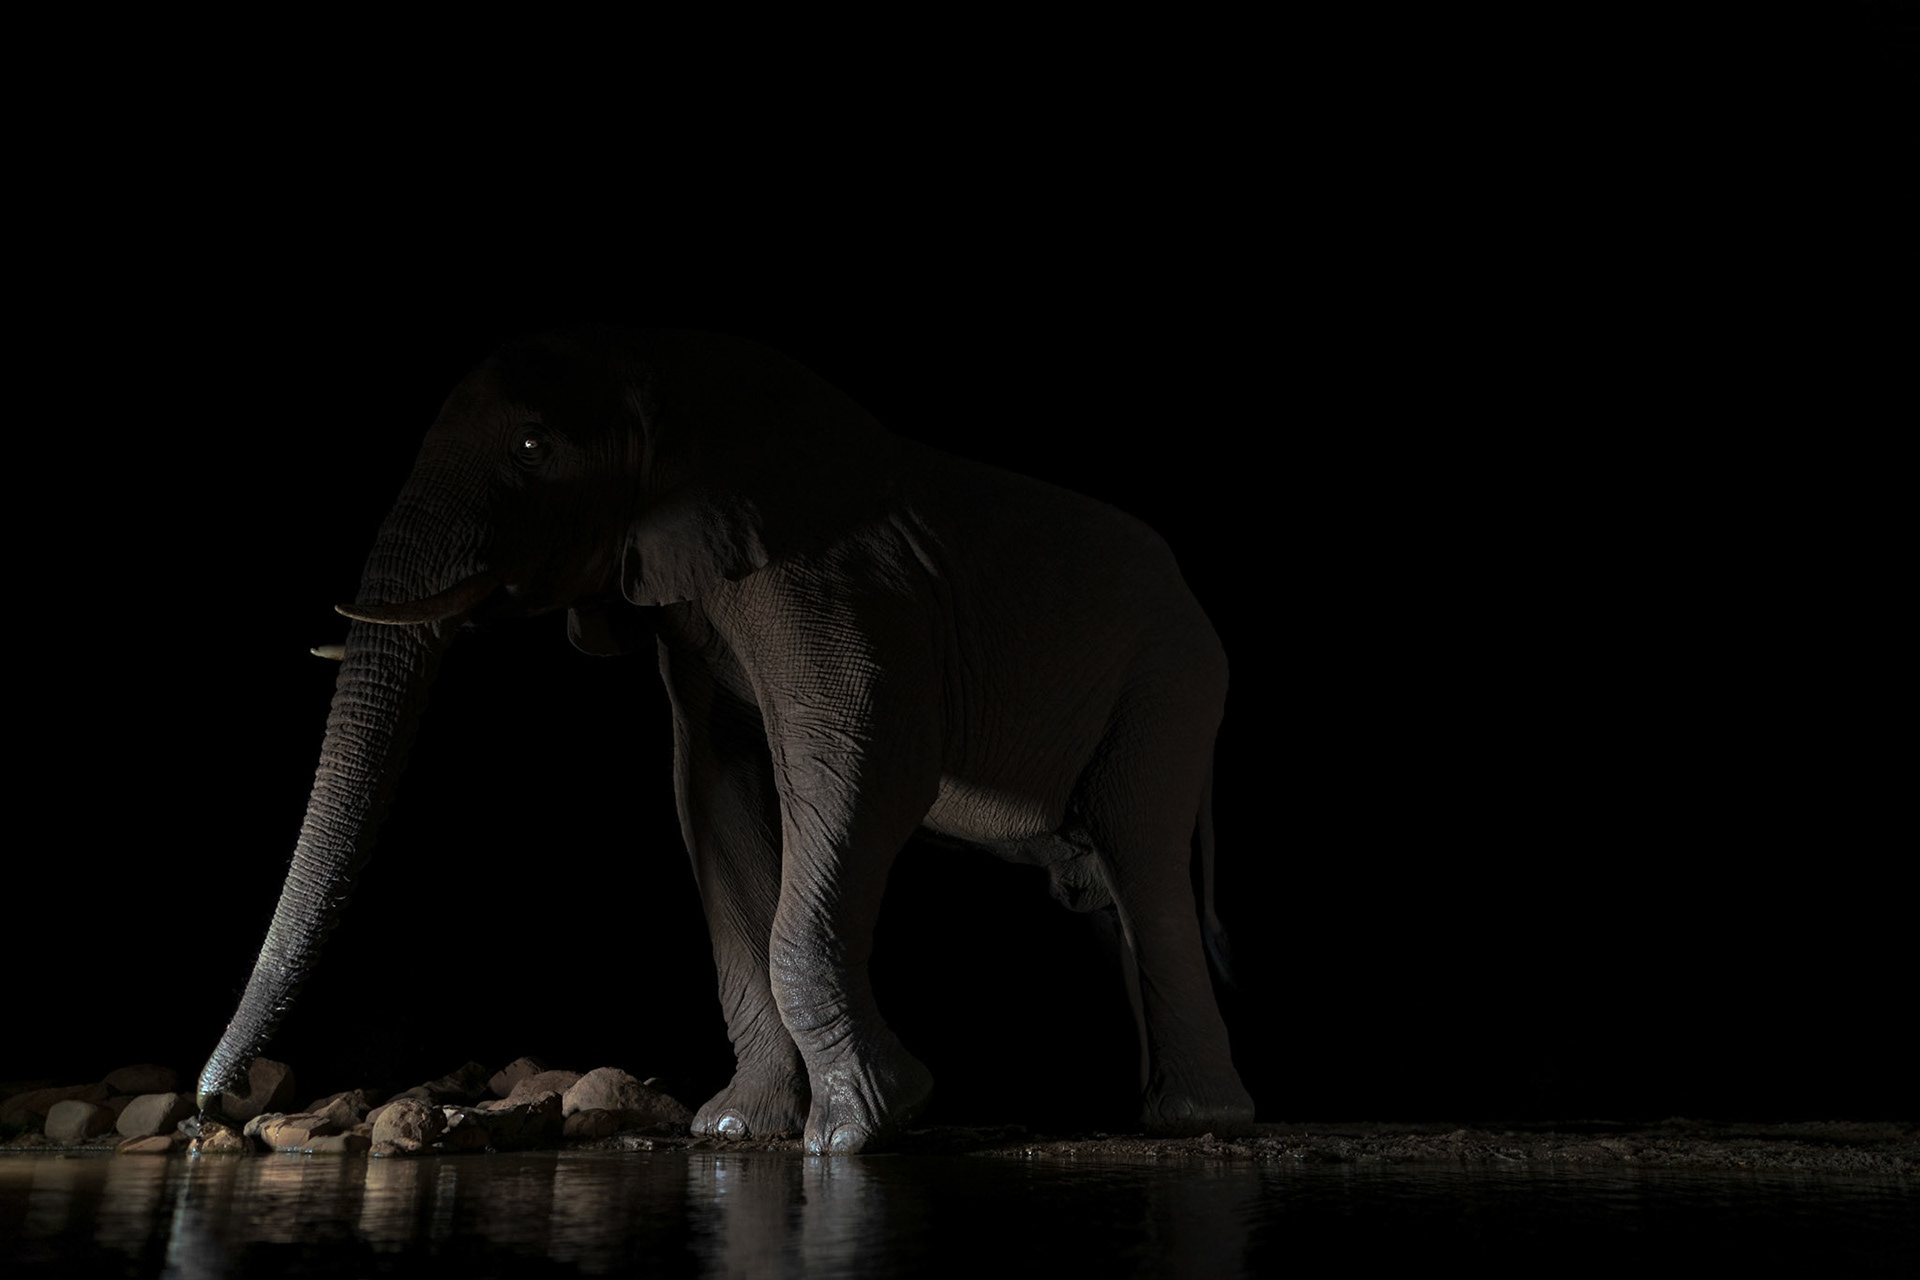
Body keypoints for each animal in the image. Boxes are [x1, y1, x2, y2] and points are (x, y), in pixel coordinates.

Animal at [196, 327, 1255, 1153]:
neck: (666, 371)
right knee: (1103, 893)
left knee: (1142, 866)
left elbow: (863, 771)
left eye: (534, 446)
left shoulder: (832, 577)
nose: (218, 1111)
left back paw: (1196, 1122)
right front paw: (738, 1131)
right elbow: (714, 796)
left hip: (1169, 685)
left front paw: (864, 1128)